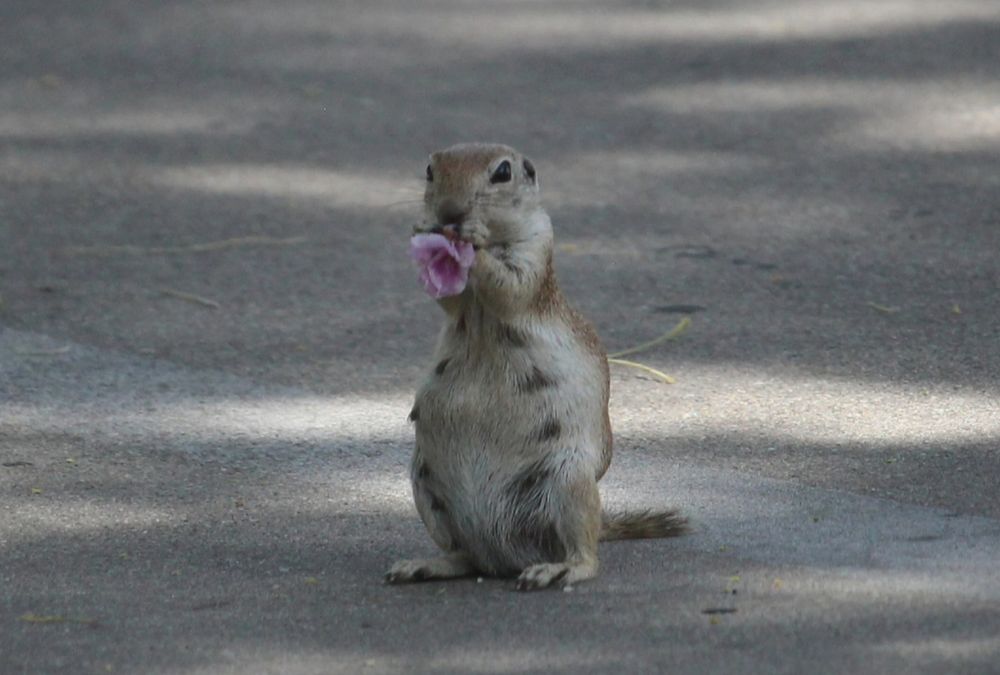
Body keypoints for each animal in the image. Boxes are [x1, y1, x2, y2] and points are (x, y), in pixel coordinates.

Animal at [386, 143, 687, 590]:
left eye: (502, 172)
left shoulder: (537, 248)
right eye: (429, 169)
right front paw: (423, 225)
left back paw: (556, 568)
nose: (450, 214)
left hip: (567, 484)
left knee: (585, 554)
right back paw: (424, 565)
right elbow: (448, 299)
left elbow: (512, 287)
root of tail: (500, 556)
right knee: (463, 556)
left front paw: (473, 243)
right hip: (426, 488)